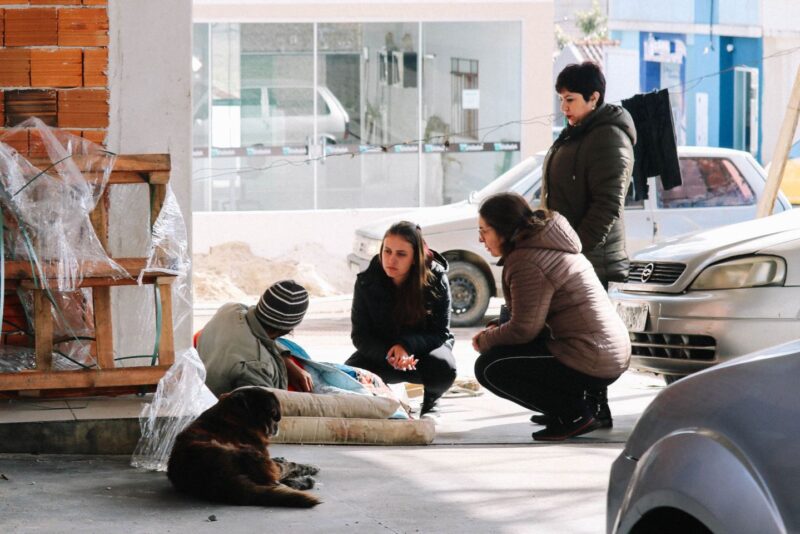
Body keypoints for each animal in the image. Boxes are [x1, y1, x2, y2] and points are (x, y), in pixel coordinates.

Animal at [168, 388, 322, 508]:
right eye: (273, 414)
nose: (277, 426)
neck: (233, 417)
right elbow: (291, 465)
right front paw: (308, 468)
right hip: (251, 453)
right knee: (277, 479)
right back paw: (304, 481)